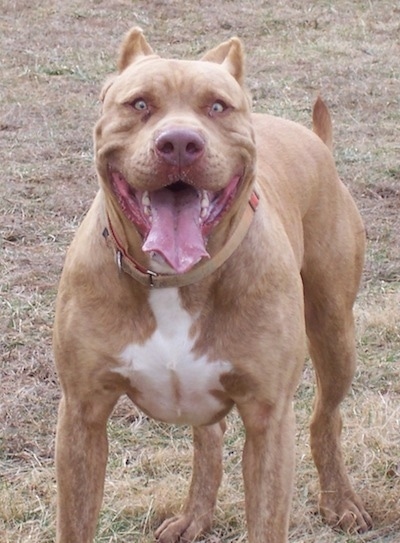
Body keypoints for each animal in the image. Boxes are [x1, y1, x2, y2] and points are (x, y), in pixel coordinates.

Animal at [52, 28, 372, 543]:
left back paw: (340, 500)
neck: (175, 280)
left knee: (326, 416)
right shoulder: (82, 414)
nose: (181, 142)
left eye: (218, 107)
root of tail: (314, 138)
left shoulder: (268, 419)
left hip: (334, 331)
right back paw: (196, 515)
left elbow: (267, 519)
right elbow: (75, 521)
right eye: (139, 104)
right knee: (210, 439)